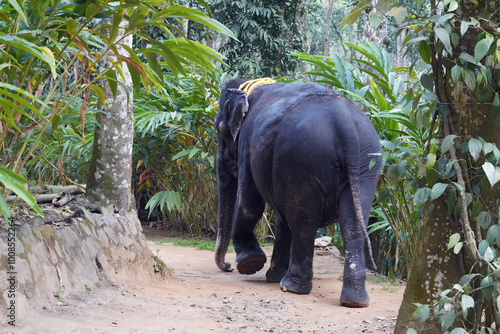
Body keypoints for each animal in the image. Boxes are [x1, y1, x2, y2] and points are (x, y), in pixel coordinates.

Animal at [213, 78, 380, 308]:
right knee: (353, 223)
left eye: (219, 129)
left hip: (301, 159)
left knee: (303, 221)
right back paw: (355, 301)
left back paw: (291, 287)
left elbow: (249, 203)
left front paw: (250, 263)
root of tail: (345, 126)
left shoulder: (247, 142)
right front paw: (270, 275)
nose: (227, 265)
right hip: (366, 165)